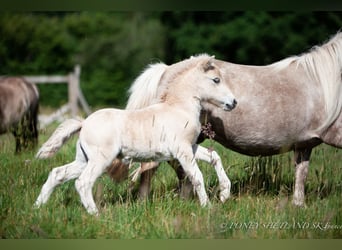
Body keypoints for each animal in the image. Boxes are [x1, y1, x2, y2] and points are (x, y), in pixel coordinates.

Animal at [35, 55, 238, 215]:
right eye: (216, 80)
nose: (233, 102)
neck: (178, 108)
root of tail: (83, 123)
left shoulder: (191, 147)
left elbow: (214, 157)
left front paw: (224, 193)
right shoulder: (182, 150)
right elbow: (197, 176)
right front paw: (207, 206)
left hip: (83, 159)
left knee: (57, 173)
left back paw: (38, 207)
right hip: (101, 159)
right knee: (82, 182)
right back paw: (95, 214)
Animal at [111, 31, 342, 207]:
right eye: (216, 80)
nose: (233, 102)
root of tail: (165, 69)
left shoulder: (304, 144)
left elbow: (301, 175)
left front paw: (298, 205)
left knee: (180, 172)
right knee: (152, 169)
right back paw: (145, 204)